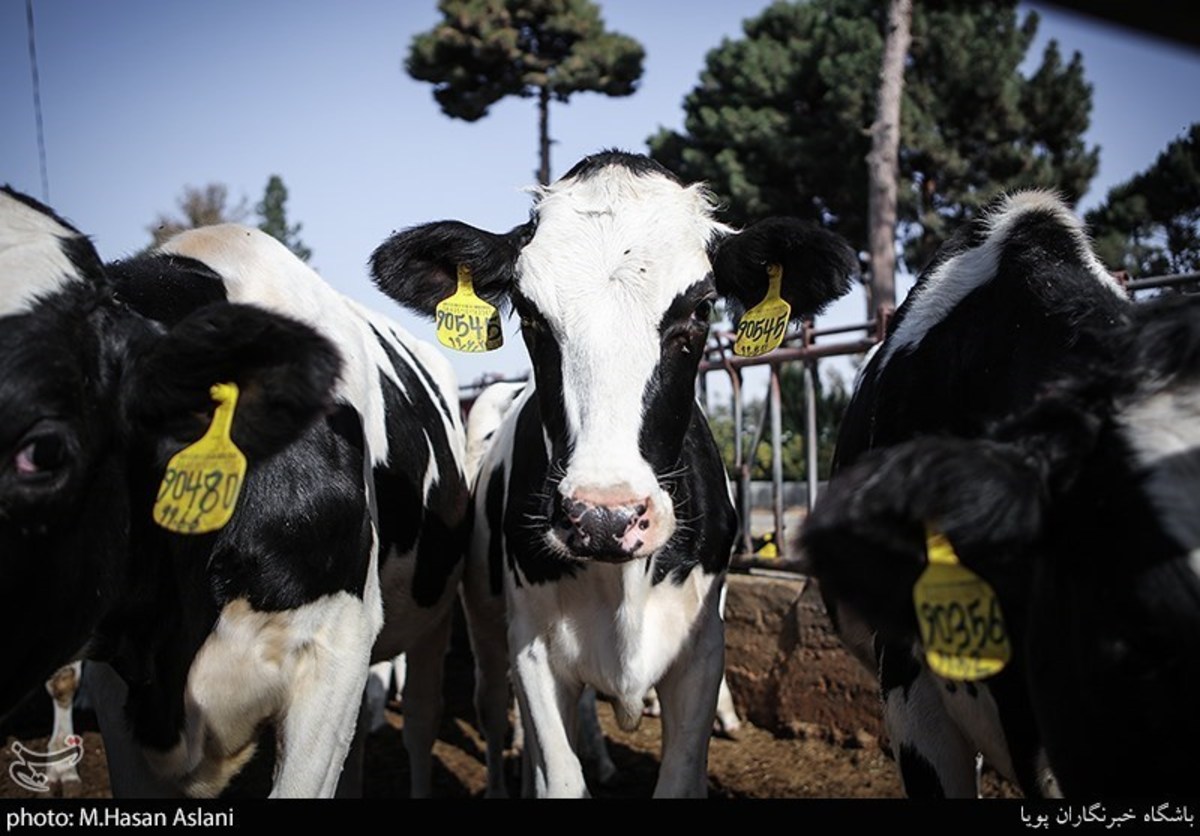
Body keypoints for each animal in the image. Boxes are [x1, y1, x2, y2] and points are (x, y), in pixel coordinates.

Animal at [369, 149, 859, 796]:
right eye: (530, 315)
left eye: (701, 309)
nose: (603, 517)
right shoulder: (532, 649)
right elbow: (557, 774)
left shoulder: (701, 652)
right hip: (482, 609)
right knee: (491, 705)